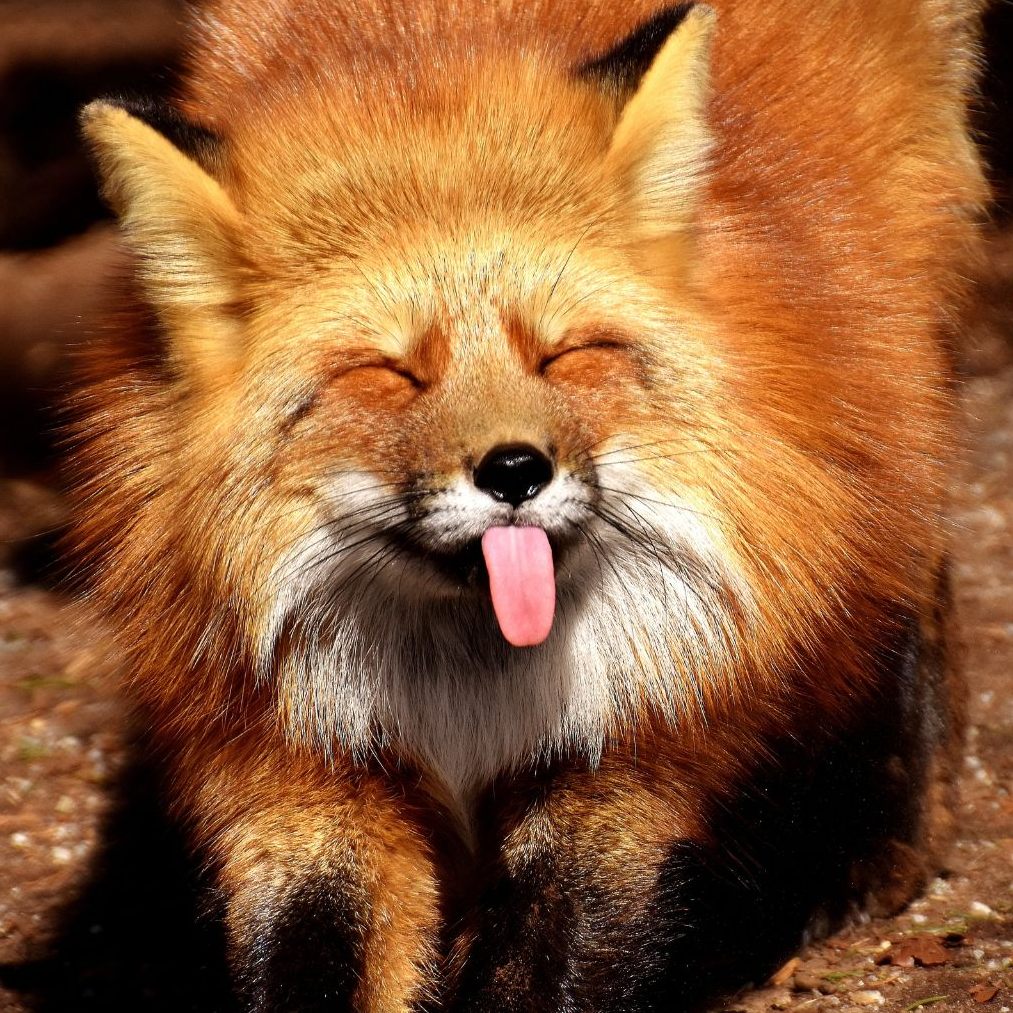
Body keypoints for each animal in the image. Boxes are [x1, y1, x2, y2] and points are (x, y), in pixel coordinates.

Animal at [70, 0, 987, 1009]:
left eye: (562, 354)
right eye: (391, 373)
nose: (514, 470)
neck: (469, 692)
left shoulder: (629, 749)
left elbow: (552, 947)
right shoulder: (297, 766)